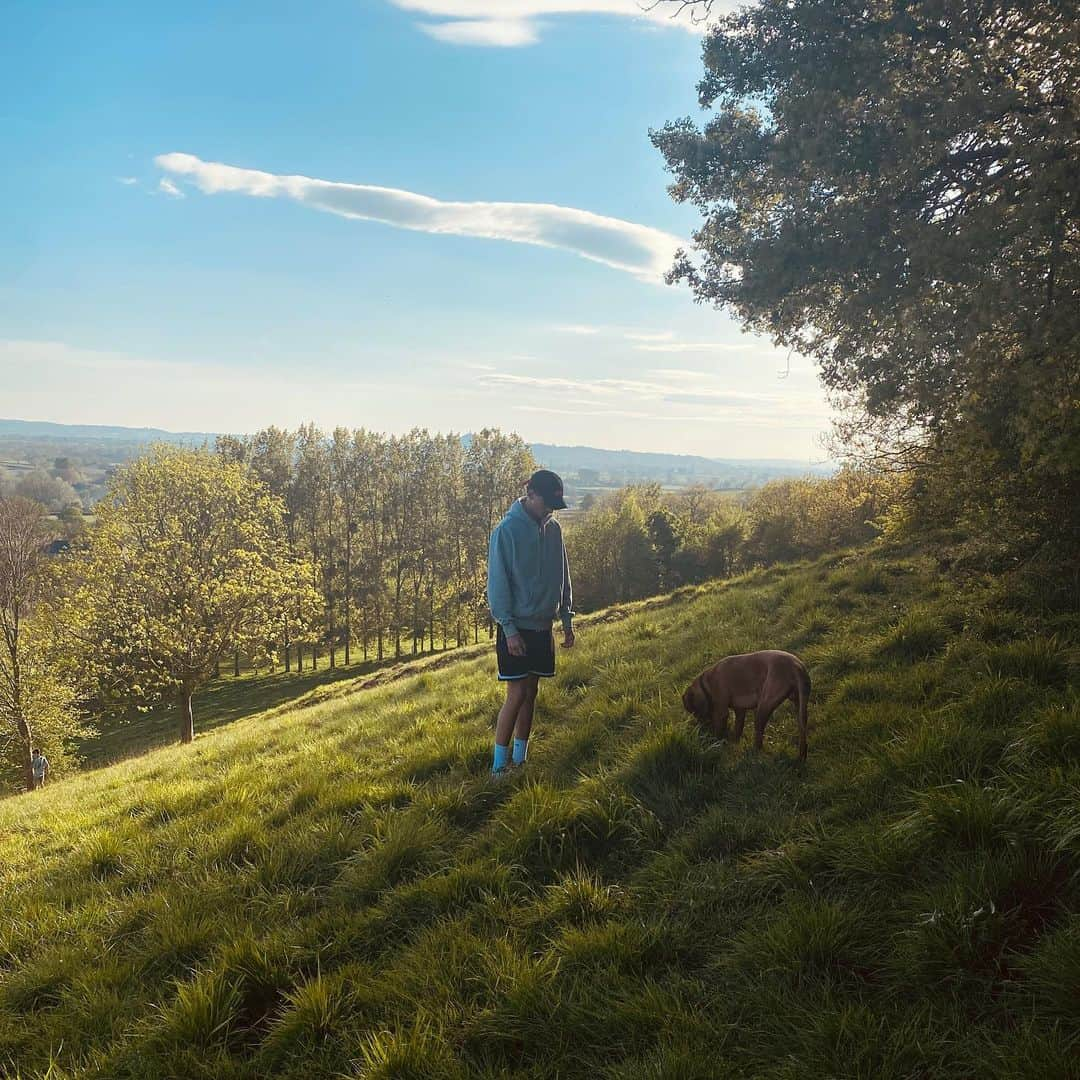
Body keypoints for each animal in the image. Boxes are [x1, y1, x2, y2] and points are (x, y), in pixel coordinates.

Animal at [682, 648, 812, 760]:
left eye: (694, 711)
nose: (701, 729)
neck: (707, 682)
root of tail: (797, 665)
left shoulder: (721, 713)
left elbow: (719, 731)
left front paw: (716, 745)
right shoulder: (740, 711)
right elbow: (738, 730)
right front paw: (734, 744)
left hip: (763, 708)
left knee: (759, 739)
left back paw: (753, 754)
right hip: (800, 707)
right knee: (802, 733)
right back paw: (801, 757)